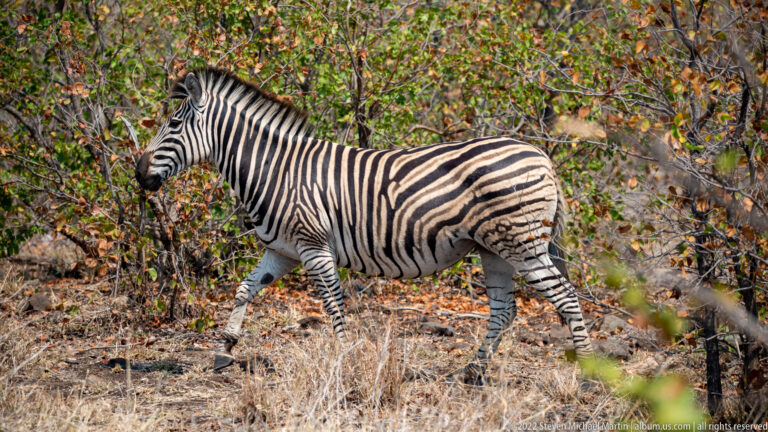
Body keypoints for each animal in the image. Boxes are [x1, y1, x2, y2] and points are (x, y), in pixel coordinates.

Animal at [135, 67, 593, 384]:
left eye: (173, 125)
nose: (139, 174)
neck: (276, 170)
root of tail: (541, 154)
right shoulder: (282, 250)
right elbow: (245, 288)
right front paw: (225, 350)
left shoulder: (315, 247)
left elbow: (333, 305)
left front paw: (343, 358)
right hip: (494, 249)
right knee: (504, 310)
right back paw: (472, 373)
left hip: (522, 244)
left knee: (566, 299)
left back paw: (589, 372)